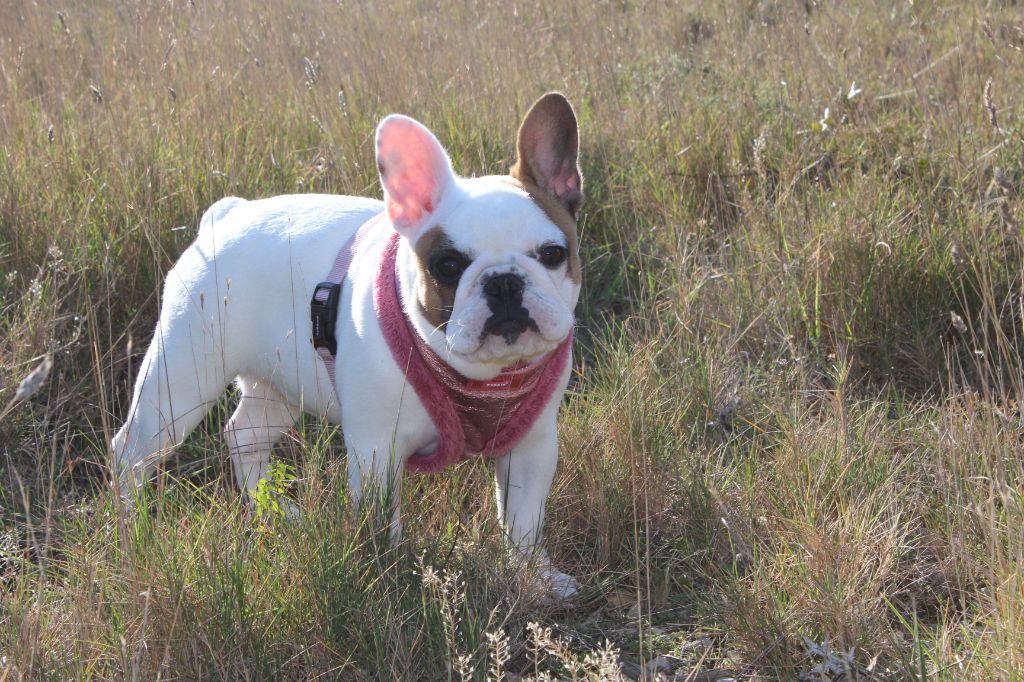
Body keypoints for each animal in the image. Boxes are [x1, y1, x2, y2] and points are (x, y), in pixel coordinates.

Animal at [112, 91, 585, 593]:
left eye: (553, 254)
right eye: (448, 266)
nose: (504, 282)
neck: (479, 376)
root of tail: (228, 212)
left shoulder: (533, 444)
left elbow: (523, 520)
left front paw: (537, 577)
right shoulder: (377, 448)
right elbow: (382, 522)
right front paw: (395, 578)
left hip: (280, 384)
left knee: (244, 435)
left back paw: (278, 511)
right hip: (180, 381)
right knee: (132, 454)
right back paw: (134, 532)